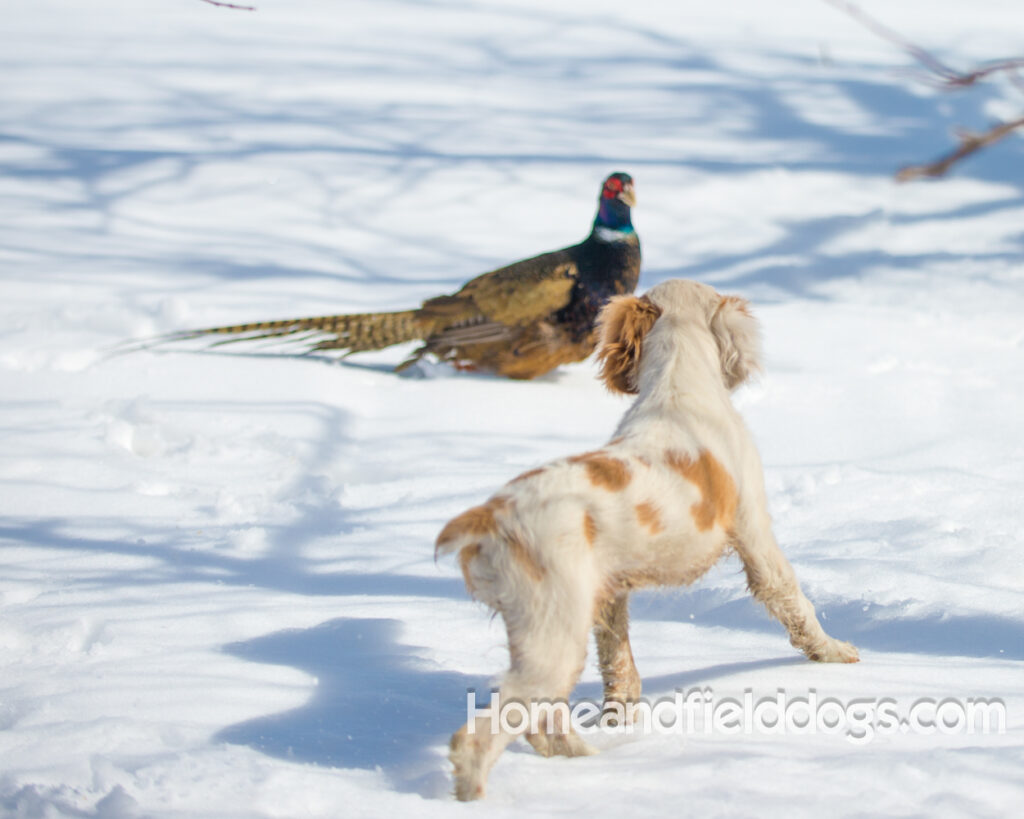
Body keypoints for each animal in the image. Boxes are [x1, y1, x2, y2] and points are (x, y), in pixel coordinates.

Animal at [432, 280, 856, 798]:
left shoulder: (610, 592)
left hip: (546, 631)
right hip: (553, 634)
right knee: (486, 732)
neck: (677, 385)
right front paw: (835, 652)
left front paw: (622, 718)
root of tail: (490, 516)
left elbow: (619, 662)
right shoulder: (757, 537)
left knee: (541, 721)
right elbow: (796, 602)